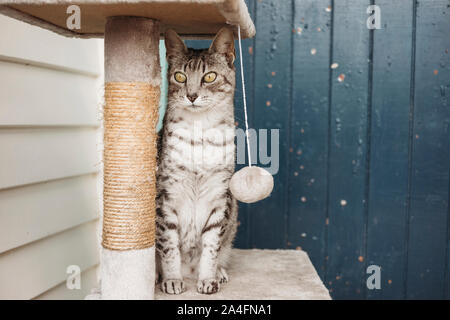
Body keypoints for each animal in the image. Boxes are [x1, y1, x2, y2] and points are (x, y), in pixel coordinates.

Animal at [156, 28, 239, 296]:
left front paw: (208, 279)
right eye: (180, 76)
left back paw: (219, 273)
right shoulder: (165, 198)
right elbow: (169, 246)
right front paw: (172, 279)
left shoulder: (219, 197)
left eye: (209, 76)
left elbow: (211, 247)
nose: (192, 95)